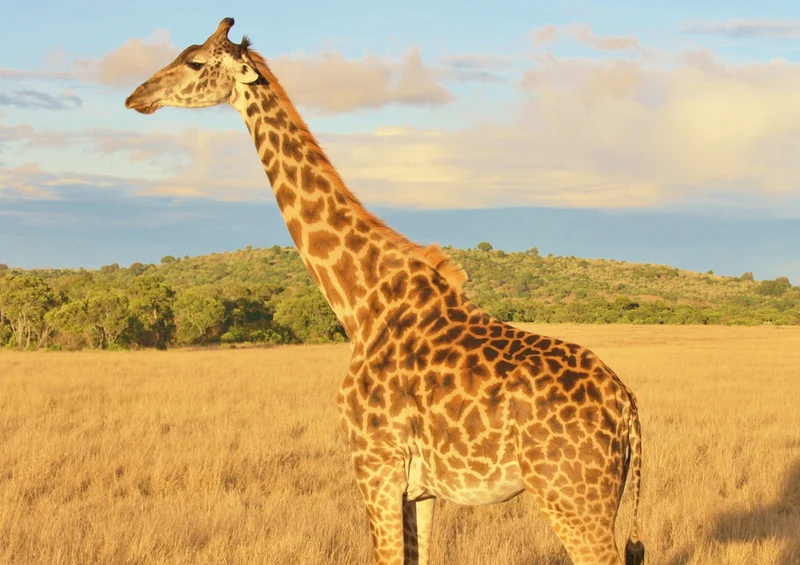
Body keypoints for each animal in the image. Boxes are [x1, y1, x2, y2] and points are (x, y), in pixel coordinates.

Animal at [125, 18, 646, 565]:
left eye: (195, 61)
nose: (136, 96)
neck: (361, 304)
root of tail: (628, 406)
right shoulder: (421, 488)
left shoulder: (374, 463)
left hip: (572, 499)